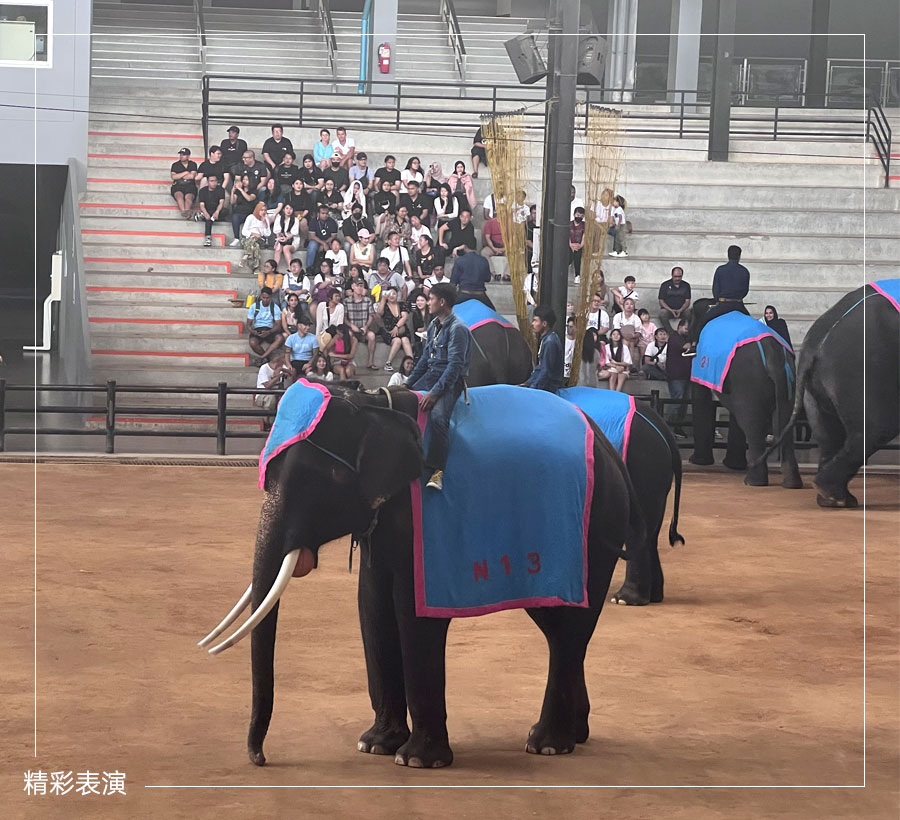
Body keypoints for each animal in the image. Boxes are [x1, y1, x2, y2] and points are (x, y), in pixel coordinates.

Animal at [200, 383, 646, 769]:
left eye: (323, 481)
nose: (260, 758)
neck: (370, 405)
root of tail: (609, 451)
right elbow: (372, 605)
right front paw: (374, 745)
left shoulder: (423, 527)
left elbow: (410, 612)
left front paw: (416, 760)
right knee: (559, 628)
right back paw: (574, 734)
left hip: (595, 528)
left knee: (570, 629)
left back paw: (548, 744)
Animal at [688, 298, 802, 489]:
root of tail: (772, 354)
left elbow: (701, 394)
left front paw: (698, 461)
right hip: (788, 382)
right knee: (783, 425)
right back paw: (791, 484)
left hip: (749, 380)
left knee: (752, 424)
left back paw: (752, 481)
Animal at [763, 282, 899, 507]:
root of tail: (817, 341)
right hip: (862, 369)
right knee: (875, 429)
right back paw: (836, 496)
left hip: (817, 388)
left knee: (829, 436)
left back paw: (831, 499)